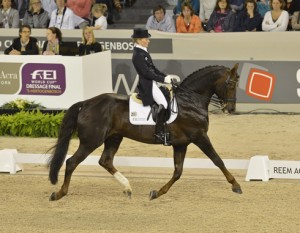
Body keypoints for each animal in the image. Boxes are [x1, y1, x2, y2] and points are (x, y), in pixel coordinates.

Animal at [48, 63, 241, 200]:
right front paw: (236, 186)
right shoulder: (199, 136)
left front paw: (156, 193)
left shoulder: (181, 143)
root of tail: (86, 103)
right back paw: (59, 194)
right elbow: (217, 160)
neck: (190, 101)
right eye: (231, 84)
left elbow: (178, 172)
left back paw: (127, 188)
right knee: (71, 162)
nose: (230, 109)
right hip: (91, 141)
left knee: (105, 161)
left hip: (114, 137)